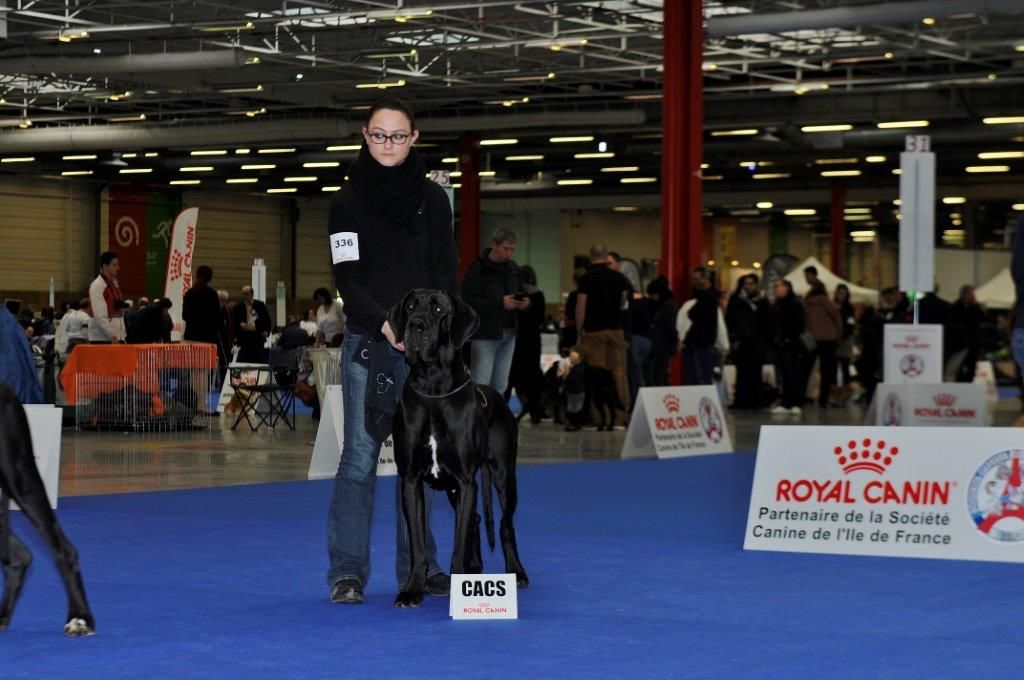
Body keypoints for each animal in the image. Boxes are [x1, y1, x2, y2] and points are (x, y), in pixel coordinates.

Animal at [385, 288, 528, 606]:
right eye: (410, 307)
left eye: (439, 309)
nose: (415, 326)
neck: (433, 388)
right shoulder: (411, 480)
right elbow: (418, 544)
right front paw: (413, 588)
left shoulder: (465, 480)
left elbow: (459, 541)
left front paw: (459, 586)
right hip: (455, 489)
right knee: (475, 518)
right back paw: (475, 566)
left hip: (503, 476)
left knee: (505, 525)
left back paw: (516, 571)